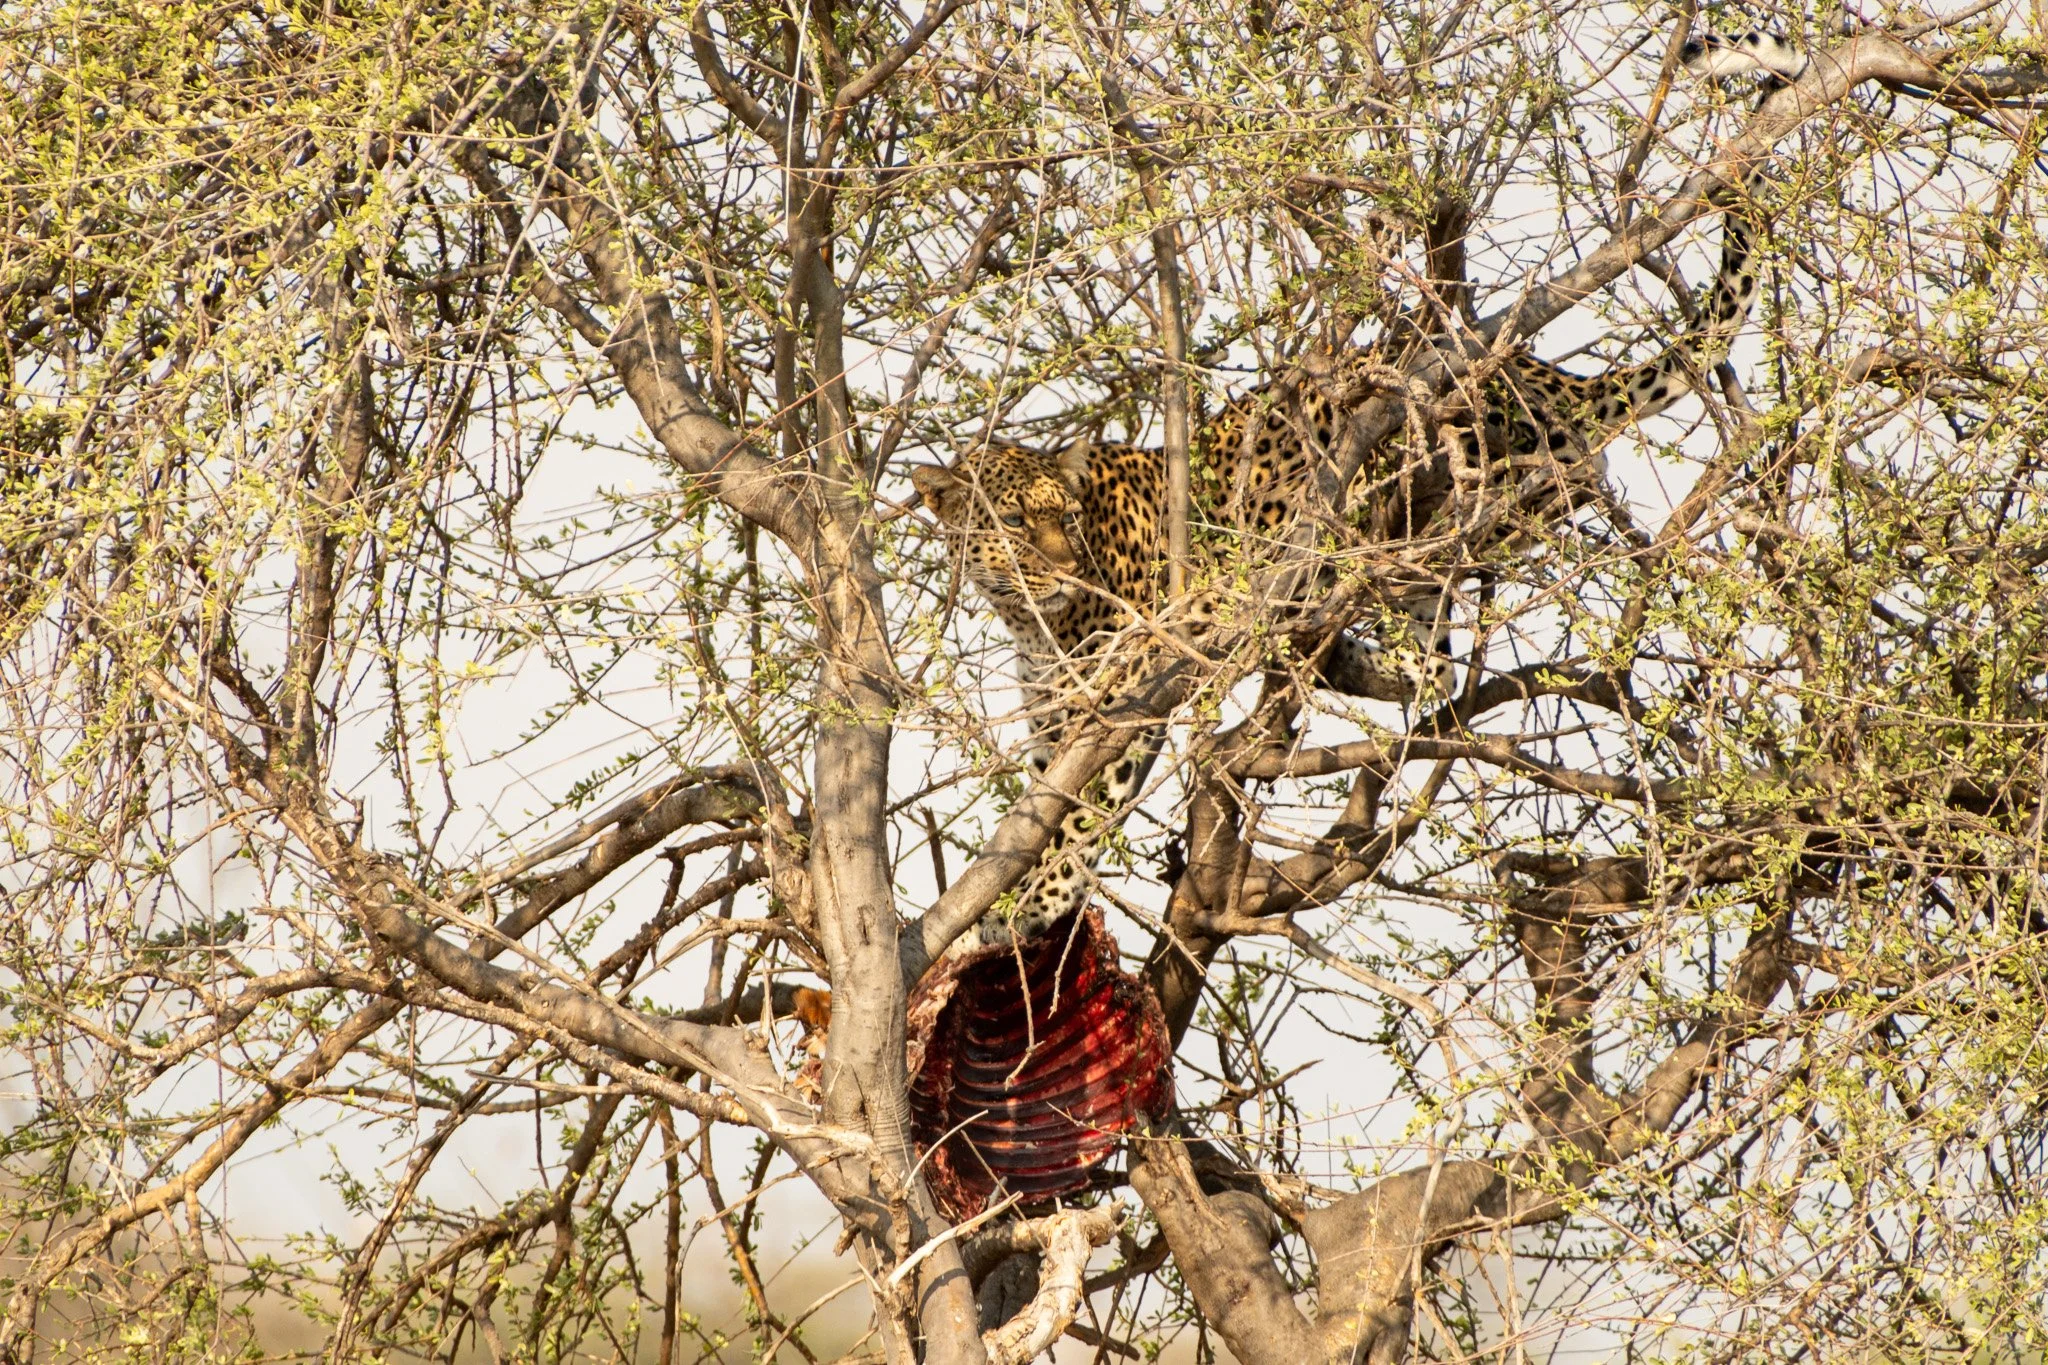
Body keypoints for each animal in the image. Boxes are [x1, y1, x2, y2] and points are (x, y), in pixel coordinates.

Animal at [911, 30, 1803, 953]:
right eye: (1015, 524)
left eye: (1062, 523)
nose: (1057, 571)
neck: (1027, 619)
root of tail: (1550, 376)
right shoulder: (1054, 723)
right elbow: (1043, 808)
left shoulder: (1123, 713)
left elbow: (1079, 819)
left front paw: (1034, 901)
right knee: (1432, 661)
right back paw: (1342, 655)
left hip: (1443, 458)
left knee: (1527, 515)